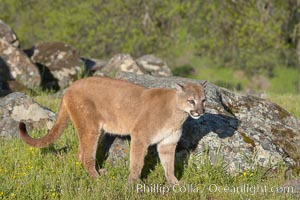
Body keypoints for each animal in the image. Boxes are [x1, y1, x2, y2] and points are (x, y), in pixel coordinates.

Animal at [18, 76, 206, 184]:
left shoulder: (167, 144)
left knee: (81, 153)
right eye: (191, 100)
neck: (177, 113)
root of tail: (71, 87)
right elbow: (137, 162)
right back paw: (98, 179)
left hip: (97, 129)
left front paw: (174, 183)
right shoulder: (140, 137)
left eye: (203, 100)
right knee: (86, 156)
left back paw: (96, 173)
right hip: (90, 127)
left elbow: (169, 165)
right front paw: (133, 183)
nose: (200, 112)